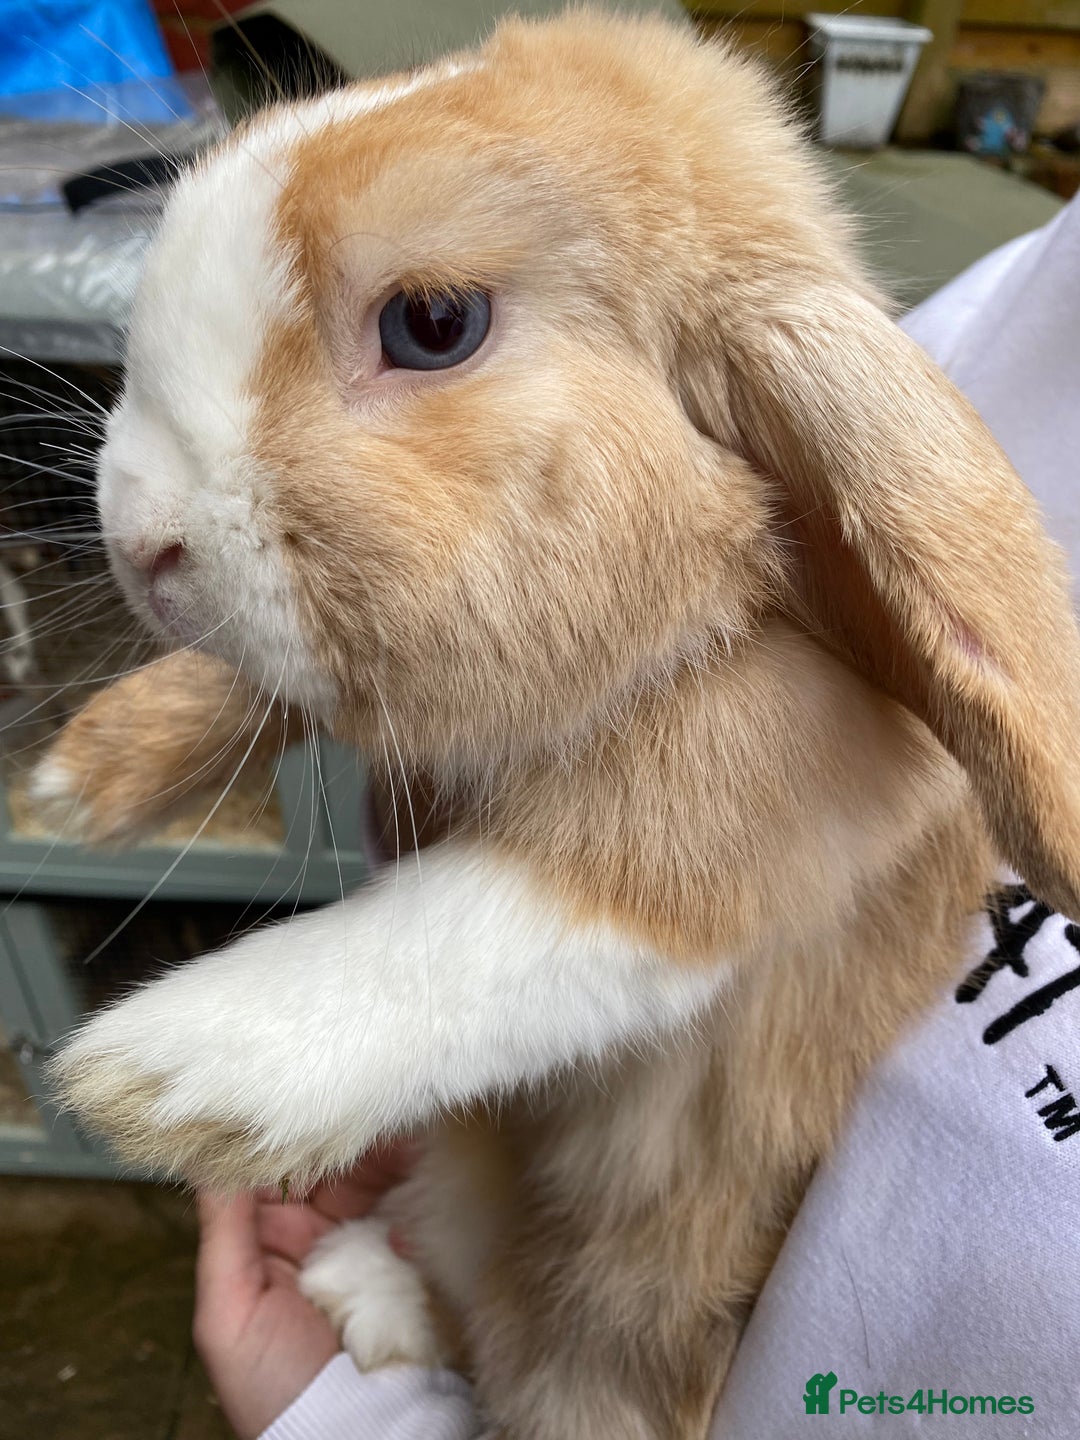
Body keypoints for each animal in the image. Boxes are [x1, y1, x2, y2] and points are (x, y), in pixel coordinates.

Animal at [32, 10, 1080, 1438]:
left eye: (433, 325)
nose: (140, 540)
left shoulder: (767, 795)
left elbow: (512, 914)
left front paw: (173, 1070)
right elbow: (259, 685)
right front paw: (80, 779)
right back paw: (365, 1289)